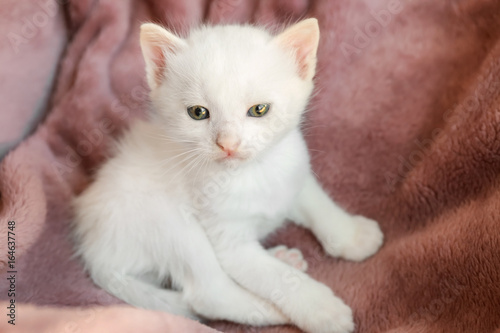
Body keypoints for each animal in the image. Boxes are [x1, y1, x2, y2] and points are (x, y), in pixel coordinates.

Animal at [71, 19, 382, 332]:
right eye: (198, 112)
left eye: (259, 109)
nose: (228, 143)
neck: (253, 174)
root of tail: (93, 252)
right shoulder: (229, 242)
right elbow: (273, 278)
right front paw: (320, 307)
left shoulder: (295, 172)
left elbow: (319, 205)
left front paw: (352, 235)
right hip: (168, 223)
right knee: (209, 293)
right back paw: (270, 309)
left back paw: (284, 258)